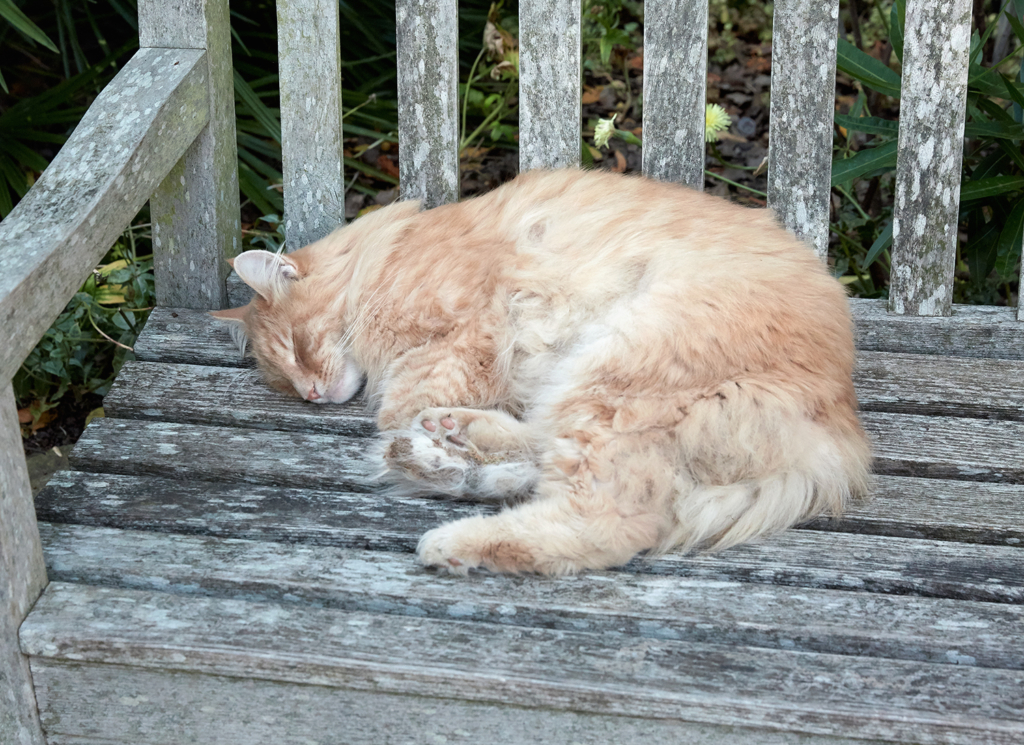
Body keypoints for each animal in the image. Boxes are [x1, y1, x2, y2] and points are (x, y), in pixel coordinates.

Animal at [211, 168, 868, 577]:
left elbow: (395, 405)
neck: (387, 257)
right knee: (541, 460)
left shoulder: (470, 330)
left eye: (297, 347)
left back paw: (450, 526)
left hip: (614, 370)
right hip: (596, 390)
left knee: (606, 521)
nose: (311, 394)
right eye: (284, 381)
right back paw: (448, 446)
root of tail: (838, 426)